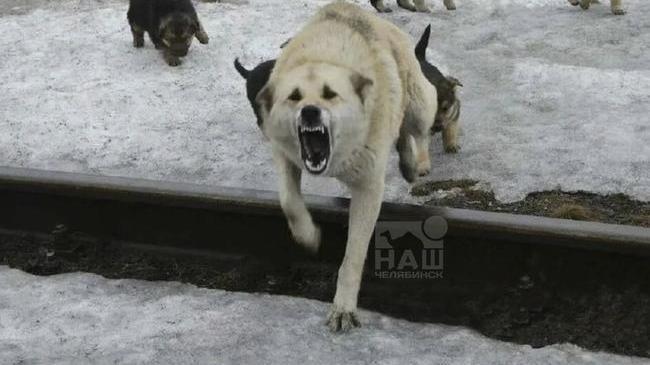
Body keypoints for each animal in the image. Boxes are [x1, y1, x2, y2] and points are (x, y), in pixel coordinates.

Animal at [254, 0, 436, 330]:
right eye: (294, 97)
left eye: (330, 94)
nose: (310, 112)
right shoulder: (284, 153)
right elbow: (289, 201)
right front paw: (309, 236)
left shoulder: (368, 187)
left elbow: (354, 253)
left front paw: (344, 308)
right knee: (402, 131)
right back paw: (406, 162)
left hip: (421, 105)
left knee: (417, 128)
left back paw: (417, 164)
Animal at [416, 24, 460, 152]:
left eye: (446, 108)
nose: (437, 128)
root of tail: (420, 59)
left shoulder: (454, 113)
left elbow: (450, 129)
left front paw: (451, 145)